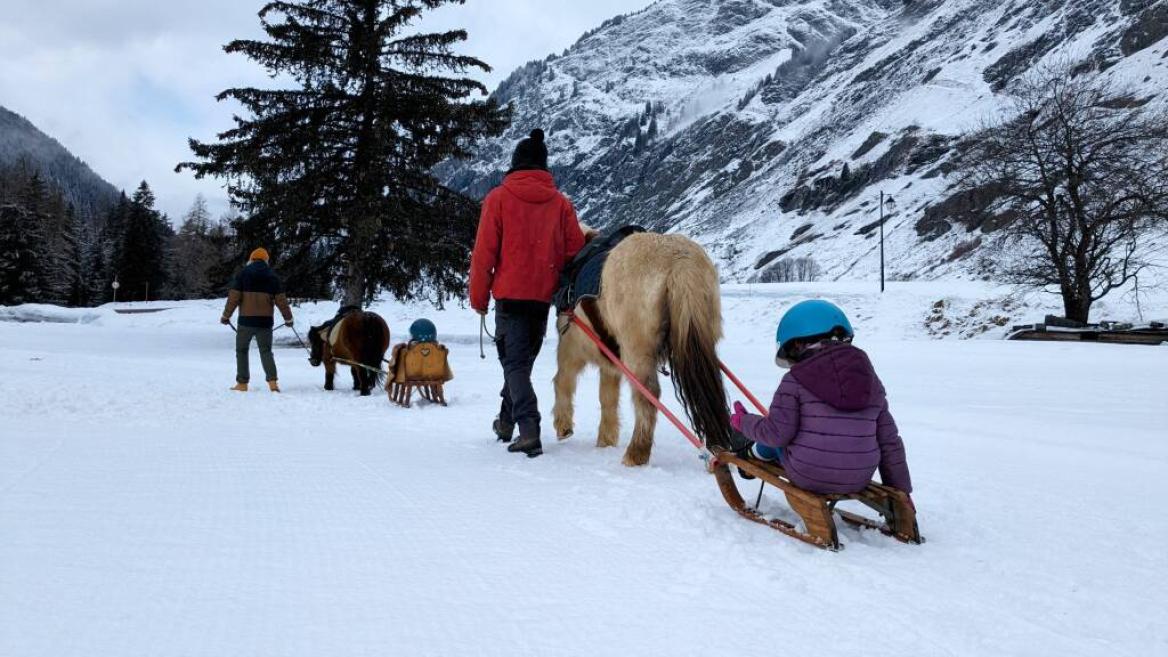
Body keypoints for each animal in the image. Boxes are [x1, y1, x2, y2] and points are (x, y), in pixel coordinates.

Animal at [548, 230, 728, 465]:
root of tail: (680, 261)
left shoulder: (571, 350)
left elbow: (563, 382)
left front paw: (563, 426)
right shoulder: (610, 365)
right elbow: (607, 397)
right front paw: (606, 440)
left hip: (637, 351)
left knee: (647, 394)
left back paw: (636, 453)